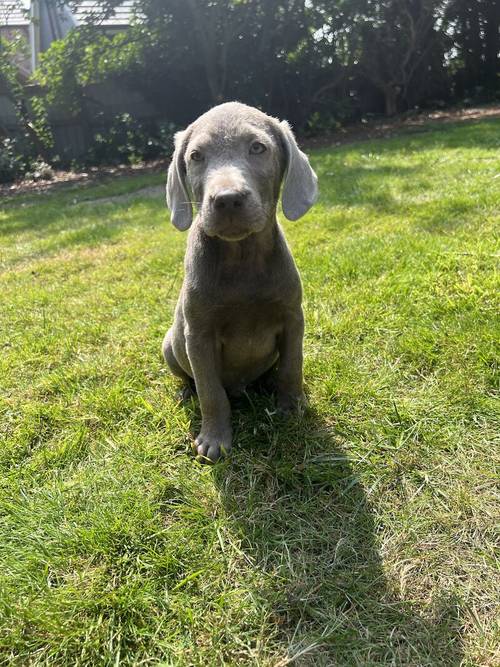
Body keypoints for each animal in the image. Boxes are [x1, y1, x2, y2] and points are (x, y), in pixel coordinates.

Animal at [162, 100, 318, 464]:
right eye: (196, 156)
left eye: (258, 148)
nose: (227, 198)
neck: (242, 258)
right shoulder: (198, 334)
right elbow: (210, 391)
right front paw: (214, 440)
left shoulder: (293, 318)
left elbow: (292, 366)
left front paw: (292, 409)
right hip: (169, 345)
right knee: (192, 380)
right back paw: (184, 392)